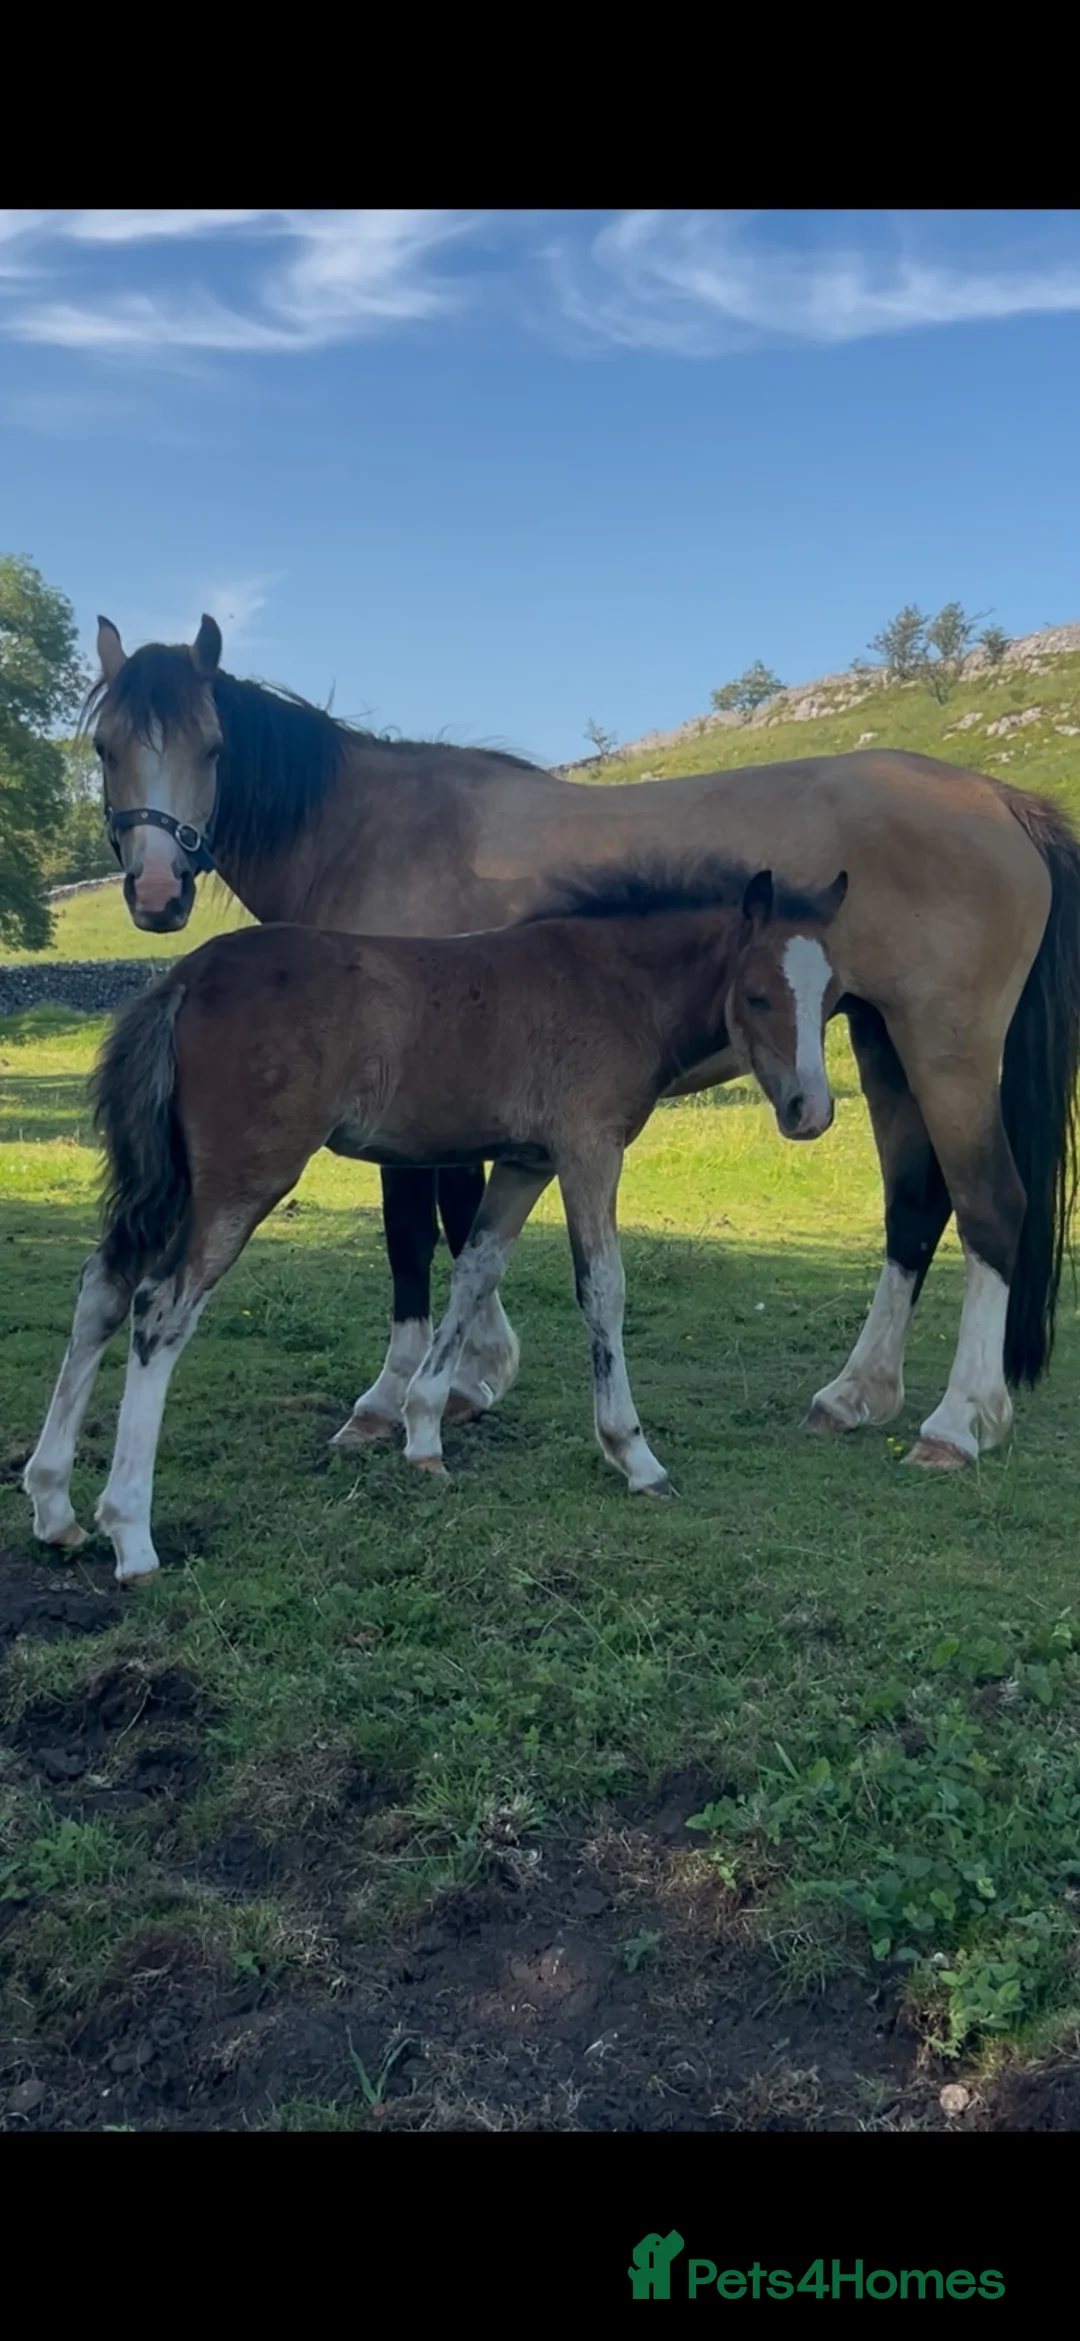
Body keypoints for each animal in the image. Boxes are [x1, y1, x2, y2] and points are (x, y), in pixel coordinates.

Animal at [23, 859, 846, 1582]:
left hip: (170, 1181)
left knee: (102, 1289)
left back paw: (54, 1506)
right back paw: (130, 1533)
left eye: (832, 993)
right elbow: (602, 1287)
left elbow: (475, 1268)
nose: (811, 1111)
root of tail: (182, 978)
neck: (615, 981)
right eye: (758, 995)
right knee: (161, 1307)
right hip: (240, 1180)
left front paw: (423, 1433)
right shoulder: (588, 1147)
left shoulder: (524, 1161)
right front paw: (634, 1456)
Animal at [84, 614, 1080, 1473]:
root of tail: (999, 799)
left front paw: (403, 1394)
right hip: (882, 1047)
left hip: (945, 1052)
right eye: (106, 748)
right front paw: (468, 1377)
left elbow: (417, 1234)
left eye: (213, 747)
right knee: (915, 1206)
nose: (158, 891)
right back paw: (857, 1394)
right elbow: (467, 1228)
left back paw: (956, 1421)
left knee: (991, 1206)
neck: (372, 830)